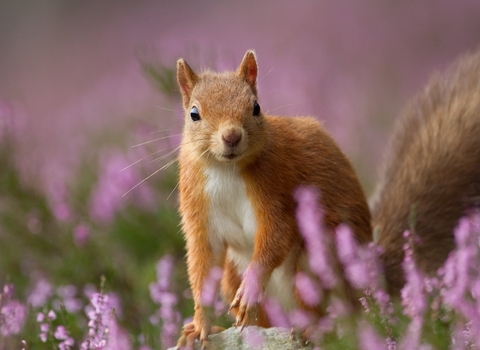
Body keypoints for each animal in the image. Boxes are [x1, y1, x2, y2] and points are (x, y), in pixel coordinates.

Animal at [176, 50, 372, 348]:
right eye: (194, 114)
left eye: (256, 107)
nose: (231, 135)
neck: (225, 169)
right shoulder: (198, 208)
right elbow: (203, 265)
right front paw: (199, 326)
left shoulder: (277, 189)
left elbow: (277, 235)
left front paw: (250, 291)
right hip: (233, 274)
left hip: (319, 259)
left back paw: (316, 330)